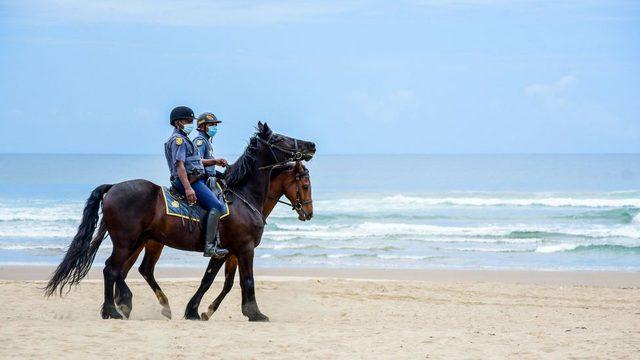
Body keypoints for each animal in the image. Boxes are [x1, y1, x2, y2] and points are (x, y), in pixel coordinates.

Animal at [117, 162, 312, 320]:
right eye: (305, 186)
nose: (309, 213)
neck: (245, 201)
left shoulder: (230, 252)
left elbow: (225, 283)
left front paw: (205, 311)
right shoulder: (240, 249)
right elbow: (224, 280)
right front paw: (253, 313)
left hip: (146, 243)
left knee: (135, 269)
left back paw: (126, 303)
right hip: (141, 243)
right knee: (131, 269)